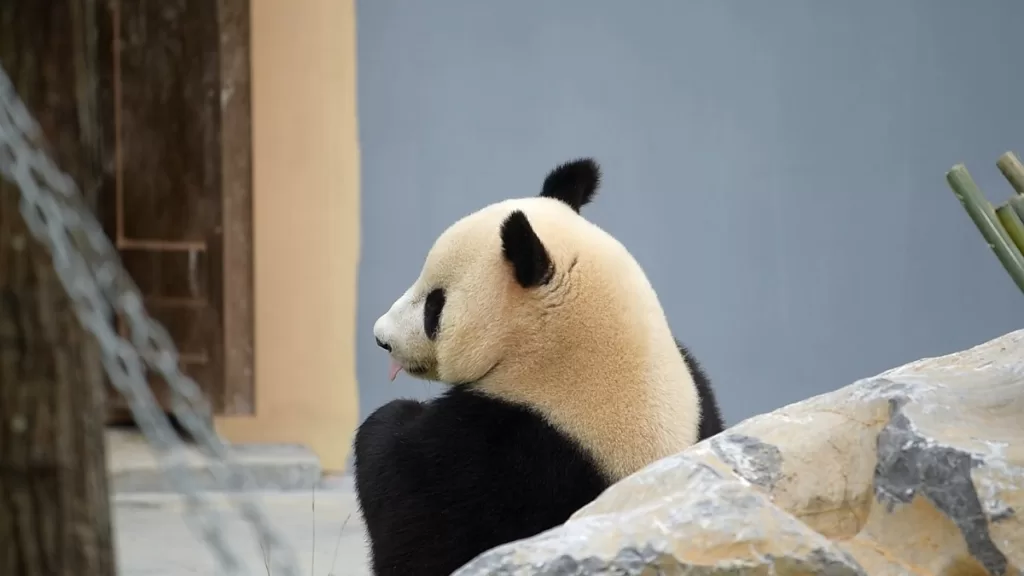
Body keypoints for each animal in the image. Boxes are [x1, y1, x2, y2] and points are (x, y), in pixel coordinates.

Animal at [353, 158, 725, 576]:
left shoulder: (513, 455)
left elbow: (415, 518)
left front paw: (395, 417)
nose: (381, 337)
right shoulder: (699, 404)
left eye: (436, 305)